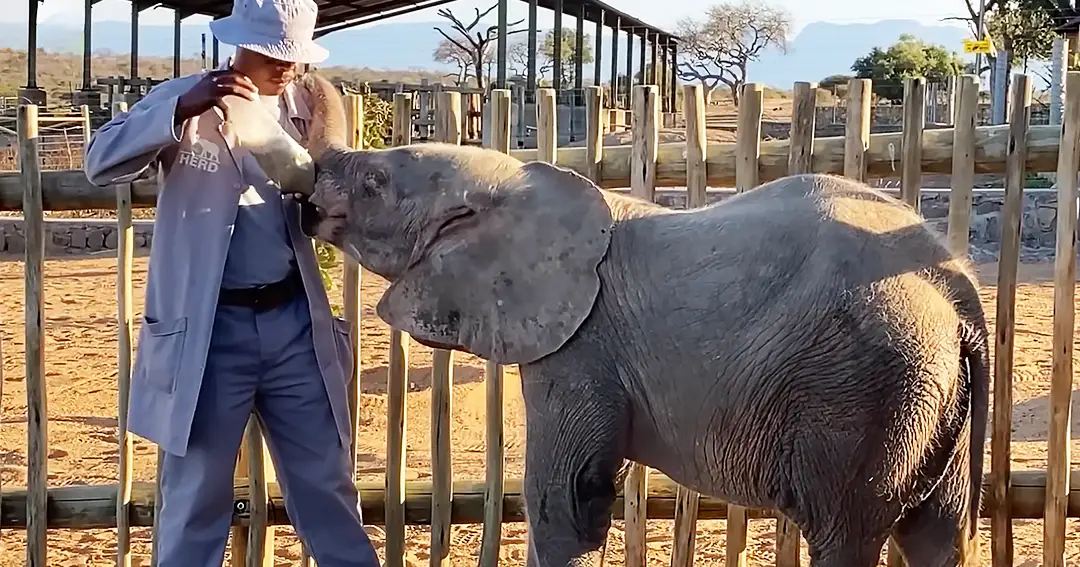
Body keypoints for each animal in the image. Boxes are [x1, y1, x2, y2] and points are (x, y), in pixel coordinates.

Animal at [226, 73, 991, 567]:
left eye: (375, 182)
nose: (298, 73)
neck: (519, 182)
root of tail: (955, 288)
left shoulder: (577, 350)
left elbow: (564, 500)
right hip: (927, 396)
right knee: (936, 534)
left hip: (866, 387)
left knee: (843, 533)